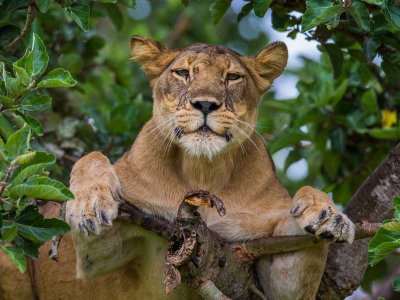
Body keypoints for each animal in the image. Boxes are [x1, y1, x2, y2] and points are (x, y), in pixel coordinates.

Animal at [0, 37, 354, 300]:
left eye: (232, 77)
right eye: (183, 73)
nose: (206, 104)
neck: (202, 169)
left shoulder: (265, 271)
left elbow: (302, 208)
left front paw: (329, 216)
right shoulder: (99, 256)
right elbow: (93, 157)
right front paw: (89, 205)